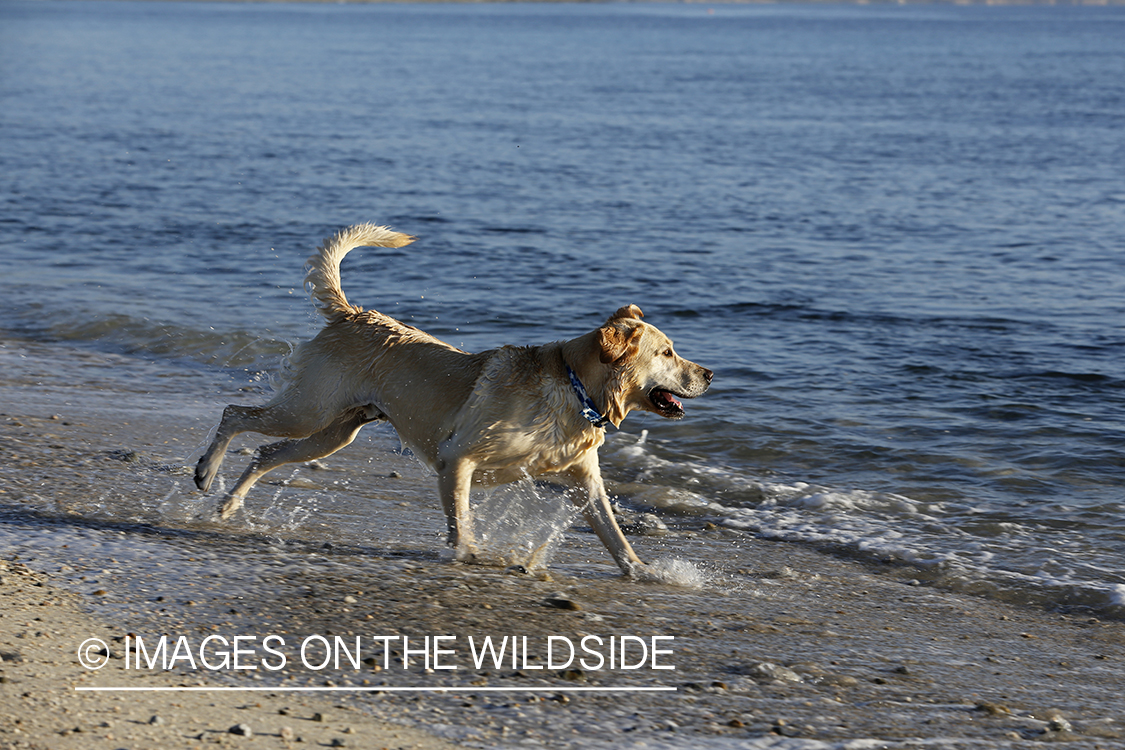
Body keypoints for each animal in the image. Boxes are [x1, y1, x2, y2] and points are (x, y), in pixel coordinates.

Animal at [195, 222, 711, 575]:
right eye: (667, 352)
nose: (709, 374)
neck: (573, 387)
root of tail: (353, 313)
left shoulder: (586, 480)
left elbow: (613, 533)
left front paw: (646, 572)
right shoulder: (456, 458)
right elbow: (461, 521)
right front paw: (469, 553)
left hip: (333, 432)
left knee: (265, 452)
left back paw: (228, 506)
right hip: (308, 410)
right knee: (235, 412)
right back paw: (205, 472)